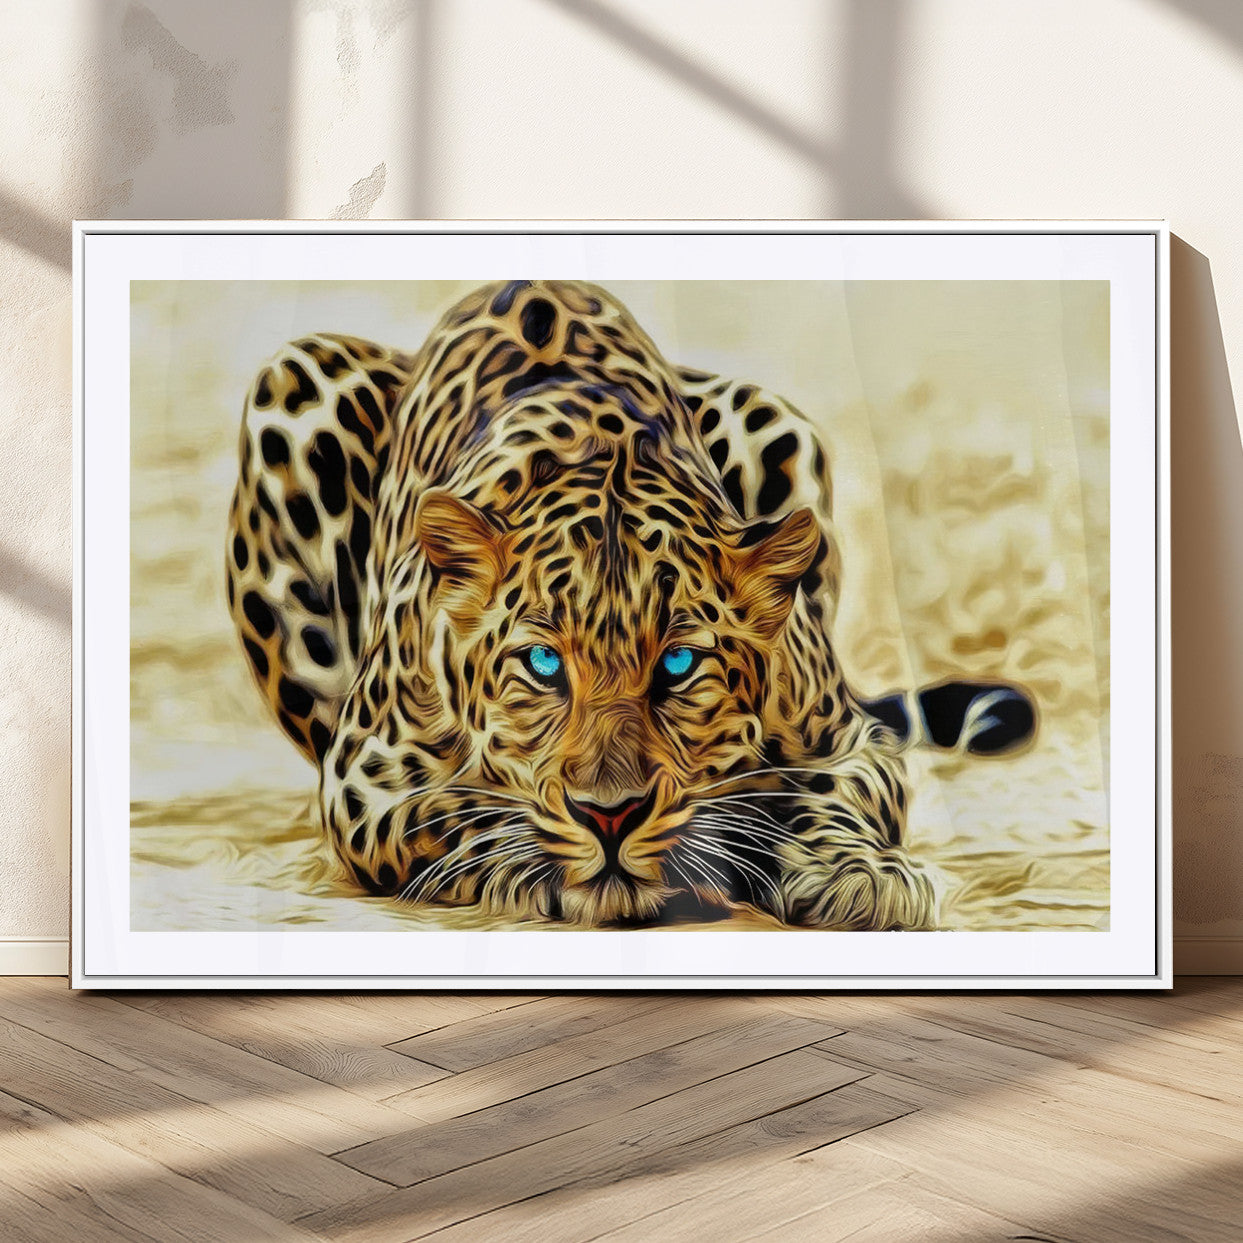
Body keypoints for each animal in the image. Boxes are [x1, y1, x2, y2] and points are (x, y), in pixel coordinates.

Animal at [226, 279, 1033, 929]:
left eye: (678, 665)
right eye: (543, 663)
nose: (609, 814)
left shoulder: (847, 739)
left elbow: (835, 794)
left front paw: (859, 873)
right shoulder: (366, 776)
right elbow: (458, 812)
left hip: (774, 419)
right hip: (296, 381)